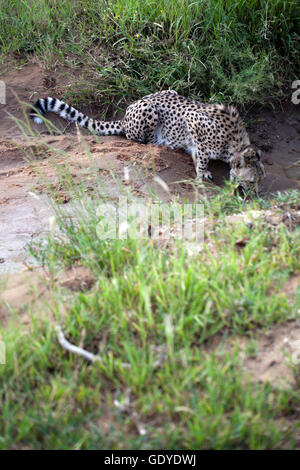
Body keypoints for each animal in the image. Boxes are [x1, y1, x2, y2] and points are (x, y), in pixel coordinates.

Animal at [29, 89, 264, 192]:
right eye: (252, 181)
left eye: (260, 180)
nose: (256, 194)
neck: (236, 145)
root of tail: (125, 117)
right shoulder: (193, 120)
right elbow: (203, 153)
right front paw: (203, 170)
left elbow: (198, 152)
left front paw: (199, 165)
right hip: (148, 111)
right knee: (136, 137)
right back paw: (160, 142)